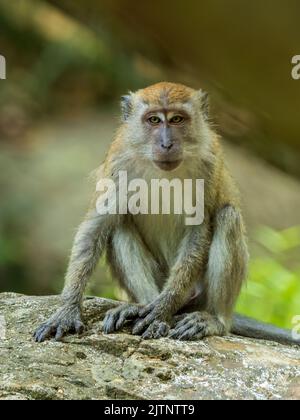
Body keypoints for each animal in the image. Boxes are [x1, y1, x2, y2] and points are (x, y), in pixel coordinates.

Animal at [33, 81, 300, 344]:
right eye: (154, 120)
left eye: (177, 119)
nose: (167, 144)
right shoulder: (118, 161)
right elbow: (97, 226)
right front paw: (67, 310)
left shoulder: (209, 162)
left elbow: (199, 229)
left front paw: (162, 308)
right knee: (119, 225)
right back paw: (141, 306)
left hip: (198, 294)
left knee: (228, 217)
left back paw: (211, 319)